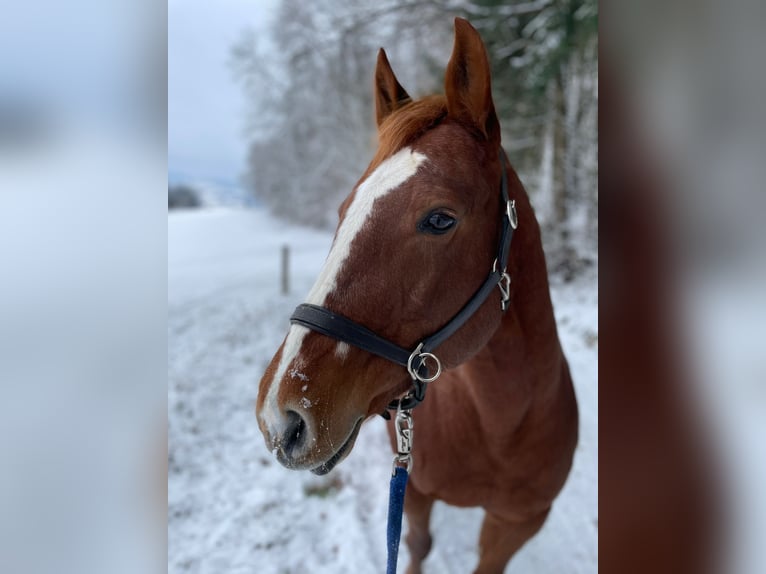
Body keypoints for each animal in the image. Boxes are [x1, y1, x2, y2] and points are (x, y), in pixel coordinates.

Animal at [256, 18, 578, 574]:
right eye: (344, 211)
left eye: (440, 219)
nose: (282, 417)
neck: (502, 424)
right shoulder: (417, 491)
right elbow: (418, 545)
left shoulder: (518, 522)